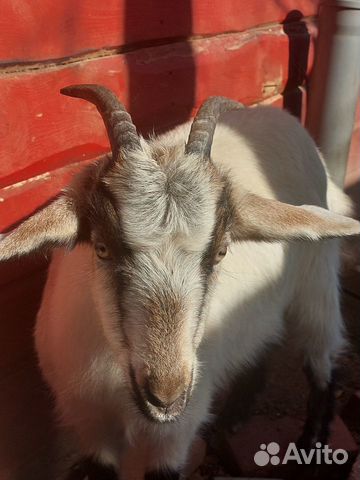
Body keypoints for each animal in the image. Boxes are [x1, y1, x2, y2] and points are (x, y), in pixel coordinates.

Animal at [0, 84, 360, 478]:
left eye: (220, 251)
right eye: (102, 248)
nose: (165, 396)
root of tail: (283, 118)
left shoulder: (175, 433)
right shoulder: (89, 421)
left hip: (317, 283)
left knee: (324, 360)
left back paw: (312, 444)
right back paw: (237, 414)